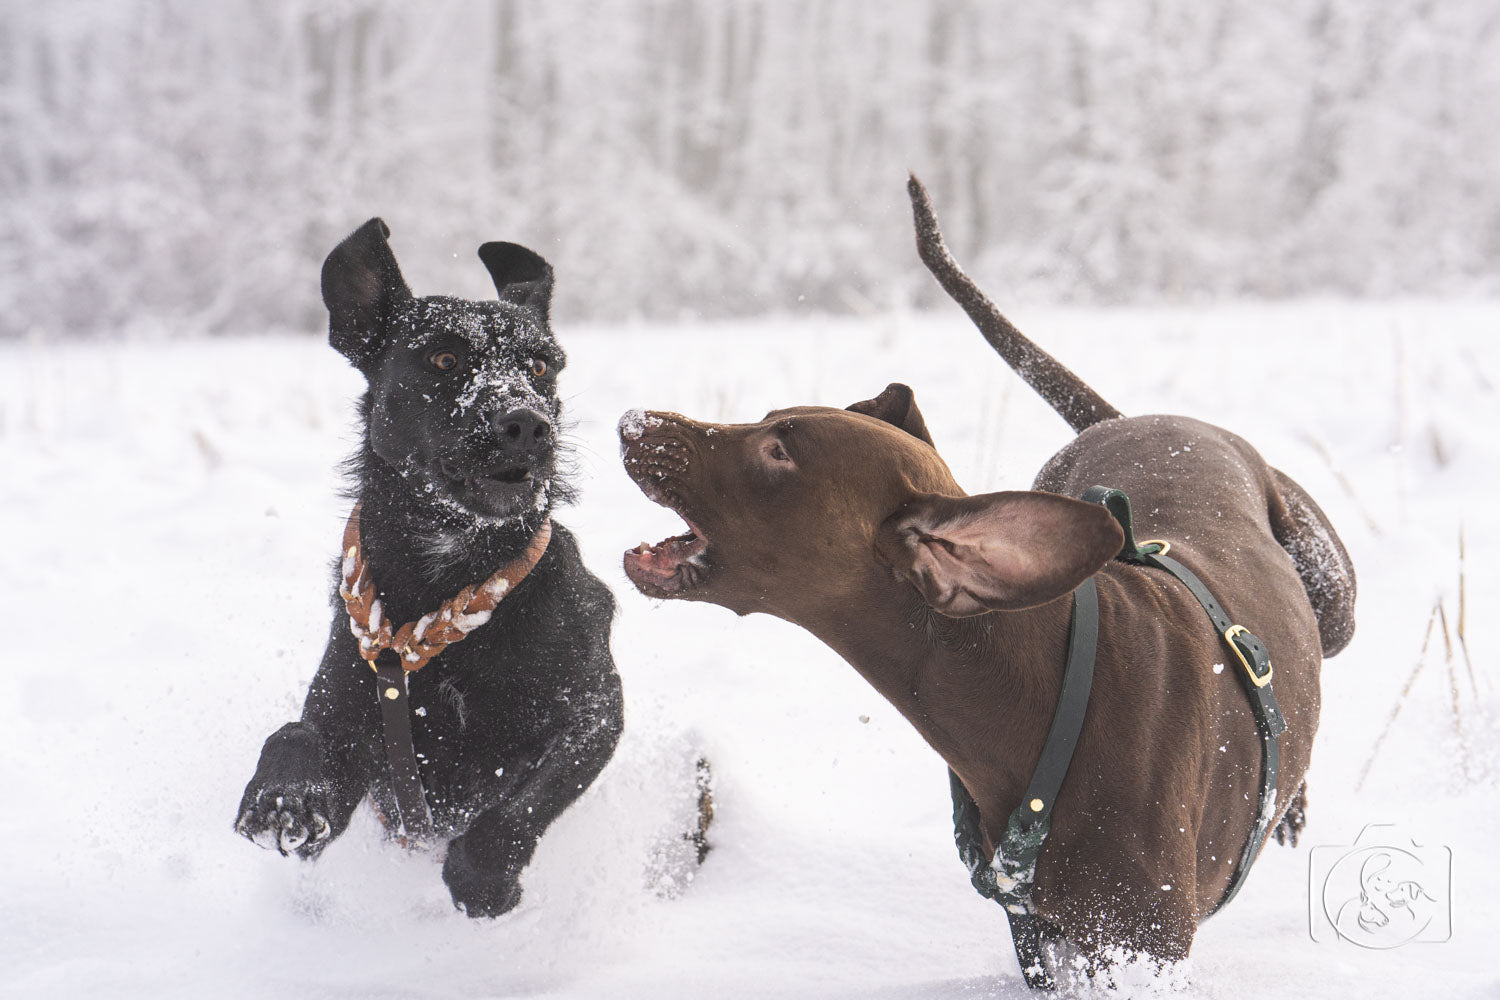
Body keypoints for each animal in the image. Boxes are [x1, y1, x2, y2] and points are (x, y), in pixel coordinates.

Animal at [234, 223, 621, 917]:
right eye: (443, 360)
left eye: (541, 366)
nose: (527, 424)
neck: (449, 574)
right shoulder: (358, 724)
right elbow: (296, 732)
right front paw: (284, 796)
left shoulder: (596, 710)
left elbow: (524, 803)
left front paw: (481, 874)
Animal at [615, 179, 1356, 977]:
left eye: (779, 450)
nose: (632, 422)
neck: (1035, 693)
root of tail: (1133, 417)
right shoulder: (1038, 929)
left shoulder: (1143, 946)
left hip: (1335, 596)